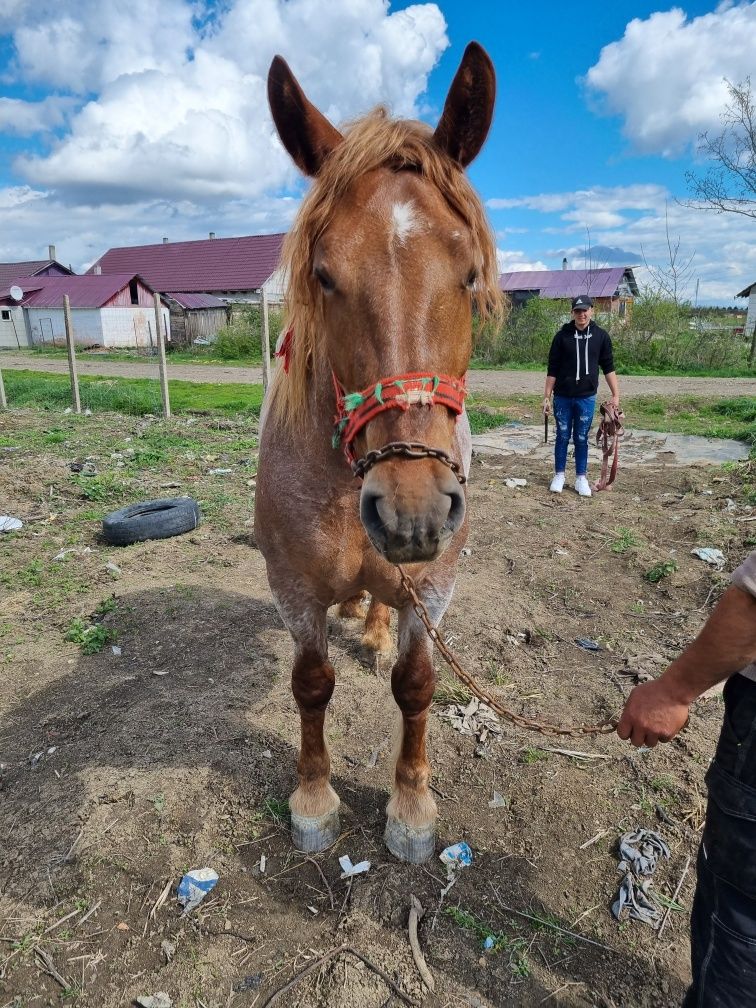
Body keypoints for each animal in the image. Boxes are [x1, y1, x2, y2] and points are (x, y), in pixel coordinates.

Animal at [256, 37, 504, 858]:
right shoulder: (294, 589)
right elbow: (310, 685)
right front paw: (313, 799)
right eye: (324, 275)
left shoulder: (435, 588)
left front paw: (411, 806)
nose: (411, 513)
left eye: (468, 273)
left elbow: (416, 686)